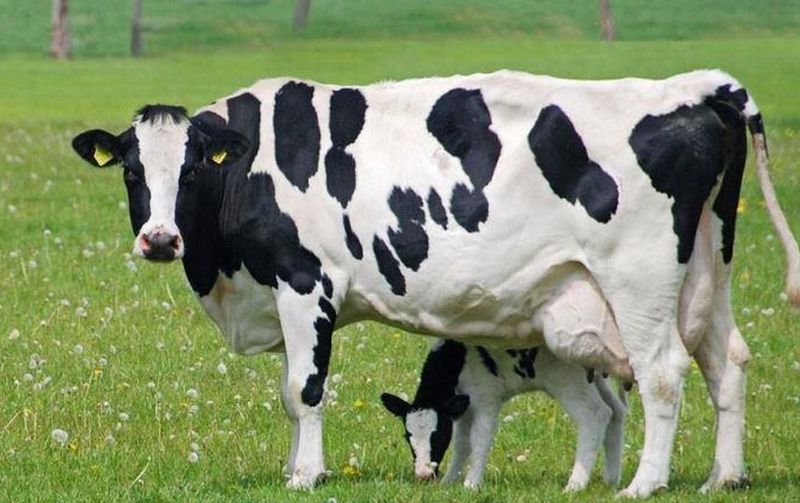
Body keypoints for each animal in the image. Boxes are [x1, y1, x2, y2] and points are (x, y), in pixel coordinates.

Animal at [382, 338, 624, 492]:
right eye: (407, 437)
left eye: (438, 435)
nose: (423, 475)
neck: (458, 358)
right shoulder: (463, 407)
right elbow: (462, 444)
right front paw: (449, 482)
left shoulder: (486, 400)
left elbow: (479, 439)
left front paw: (471, 485)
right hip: (594, 379)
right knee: (616, 410)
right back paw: (611, 479)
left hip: (567, 379)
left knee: (595, 414)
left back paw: (575, 485)